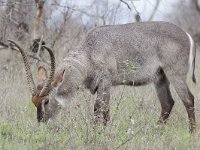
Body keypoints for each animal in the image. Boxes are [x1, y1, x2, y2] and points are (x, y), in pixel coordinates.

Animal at [8, 21, 196, 132]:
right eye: (34, 102)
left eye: (46, 101)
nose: (41, 123)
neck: (90, 52)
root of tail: (187, 35)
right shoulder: (101, 86)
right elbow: (103, 111)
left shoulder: (105, 83)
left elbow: (100, 110)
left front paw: (99, 134)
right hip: (160, 78)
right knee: (167, 103)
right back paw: (155, 130)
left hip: (175, 74)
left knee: (189, 99)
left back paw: (192, 133)